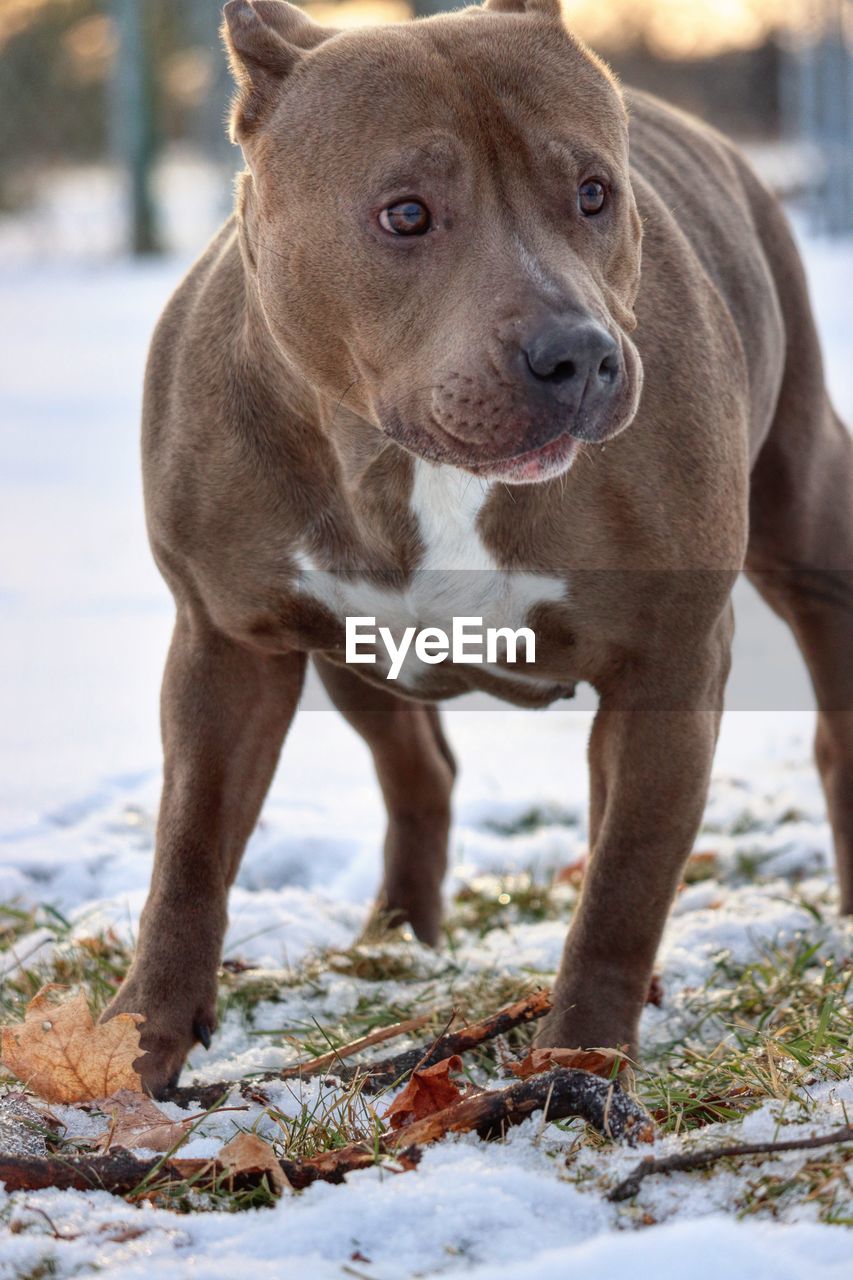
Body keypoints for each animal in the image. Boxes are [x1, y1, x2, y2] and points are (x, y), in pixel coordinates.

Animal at [104, 2, 850, 1100]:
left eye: (593, 193)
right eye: (405, 214)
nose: (577, 354)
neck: (409, 467)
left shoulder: (666, 662)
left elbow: (624, 878)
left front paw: (578, 1070)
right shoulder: (225, 643)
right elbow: (189, 851)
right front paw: (132, 1048)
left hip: (808, 512)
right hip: (354, 652)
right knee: (419, 768)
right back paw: (396, 937)